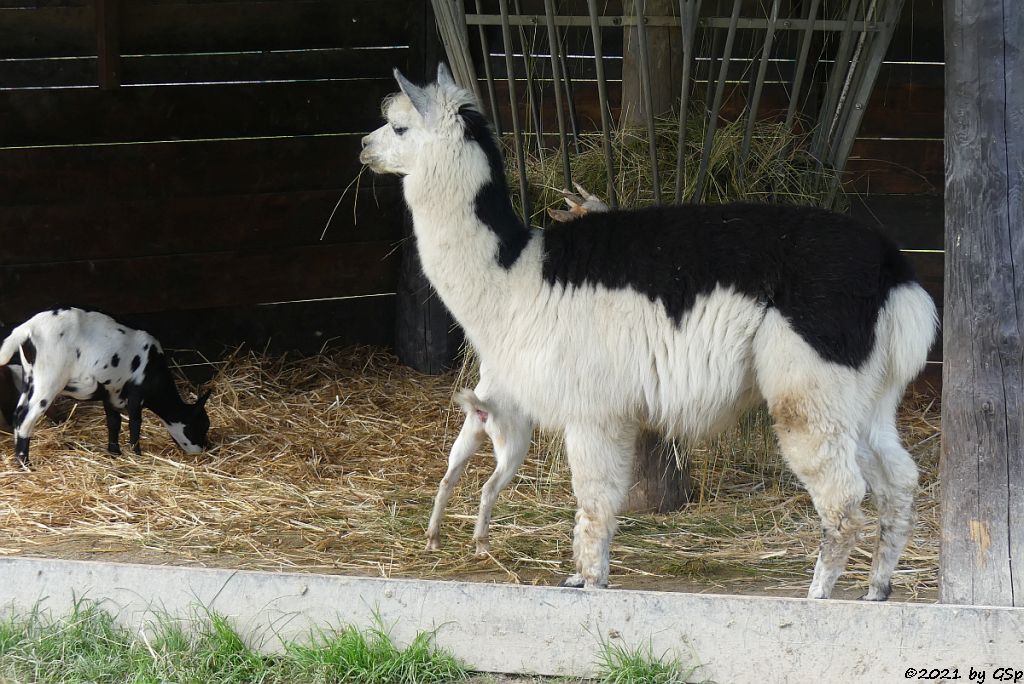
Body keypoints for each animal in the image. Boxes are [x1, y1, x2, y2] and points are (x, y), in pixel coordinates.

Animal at [0, 307, 210, 466]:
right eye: (200, 426)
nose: (202, 450)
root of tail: (26, 329)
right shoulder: (136, 393)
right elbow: (135, 424)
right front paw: (137, 454)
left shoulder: (112, 392)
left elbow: (113, 423)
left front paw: (114, 452)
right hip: (47, 379)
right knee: (25, 418)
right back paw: (25, 463)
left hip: (30, 378)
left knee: (17, 414)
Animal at [358, 62, 937, 597]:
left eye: (399, 127)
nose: (363, 145)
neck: (514, 276)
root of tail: (893, 269)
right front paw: (580, 577)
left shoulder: (594, 409)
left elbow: (595, 503)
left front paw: (592, 582)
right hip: (867, 393)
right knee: (898, 480)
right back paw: (878, 587)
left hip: (812, 383)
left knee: (843, 500)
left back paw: (818, 596)